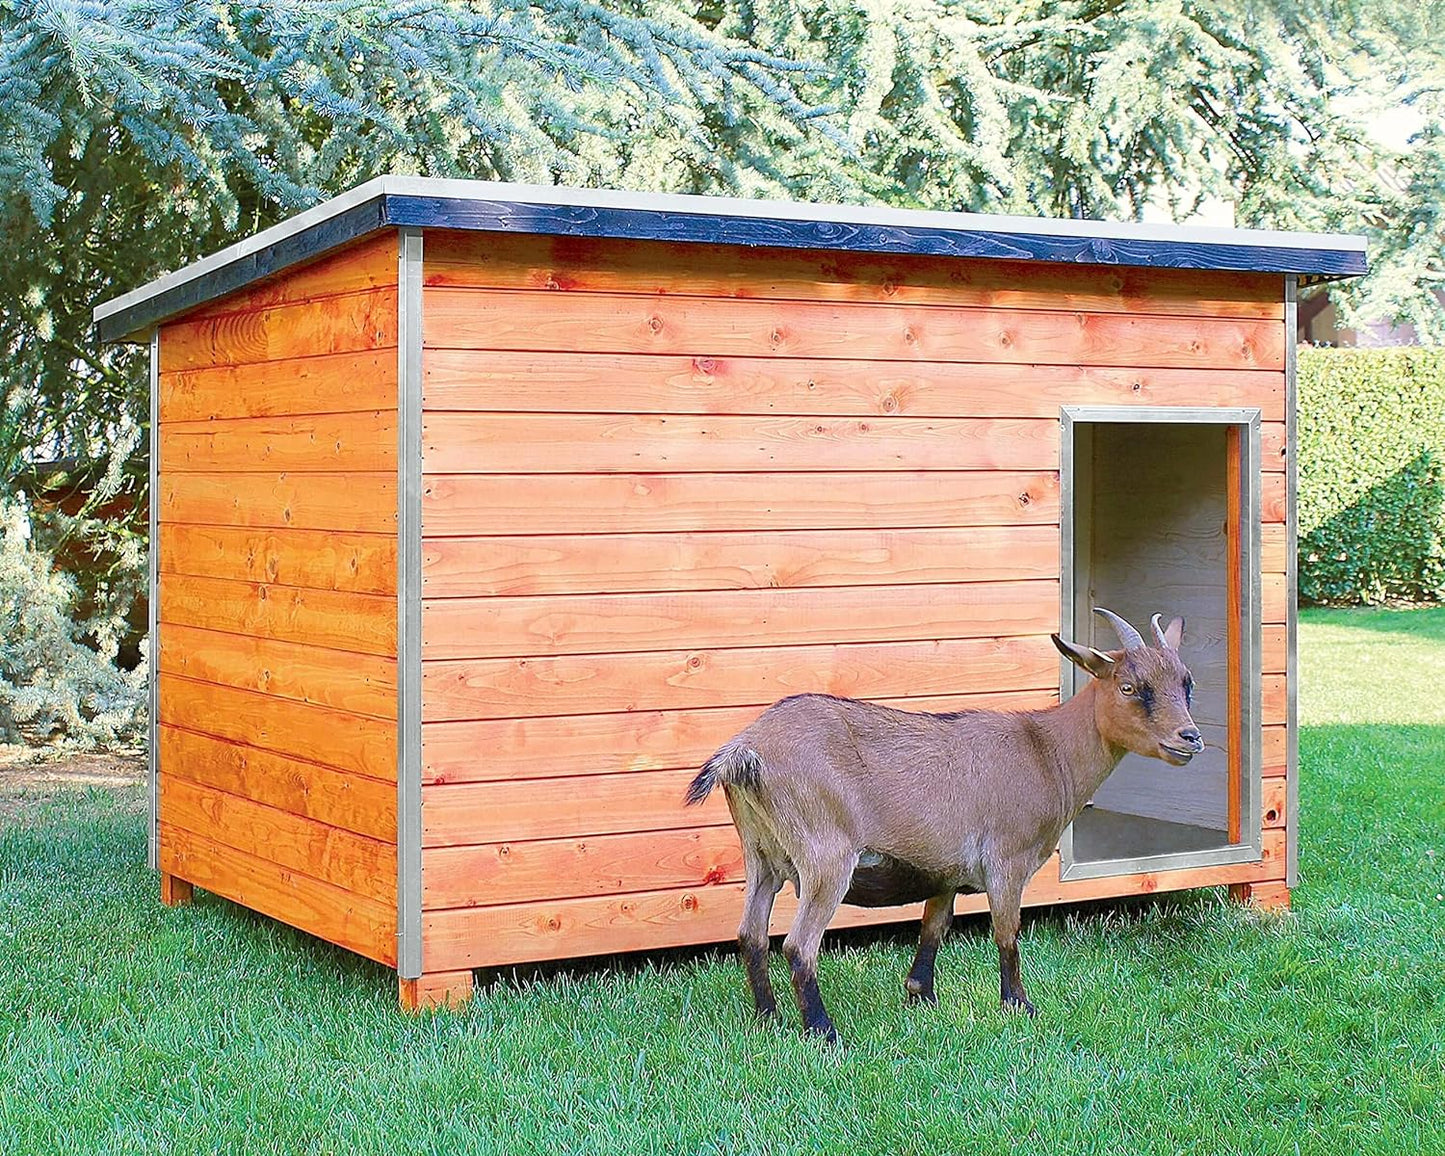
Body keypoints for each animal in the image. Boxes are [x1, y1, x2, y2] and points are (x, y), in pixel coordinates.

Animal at [684, 607, 1202, 1043]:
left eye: (1186, 682)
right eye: (1128, 686)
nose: (1190, 738)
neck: (1047, 752)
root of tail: (745, 751)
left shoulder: (945, 871)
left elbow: (934, 927)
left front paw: (922, 996)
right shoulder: (1006, 859)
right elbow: (1007, 932)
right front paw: (1020, 1006)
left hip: (762, 855)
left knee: (751, 934)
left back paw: (767, 1018)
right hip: (825, 857)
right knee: (798, 945)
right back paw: (823, 1031)